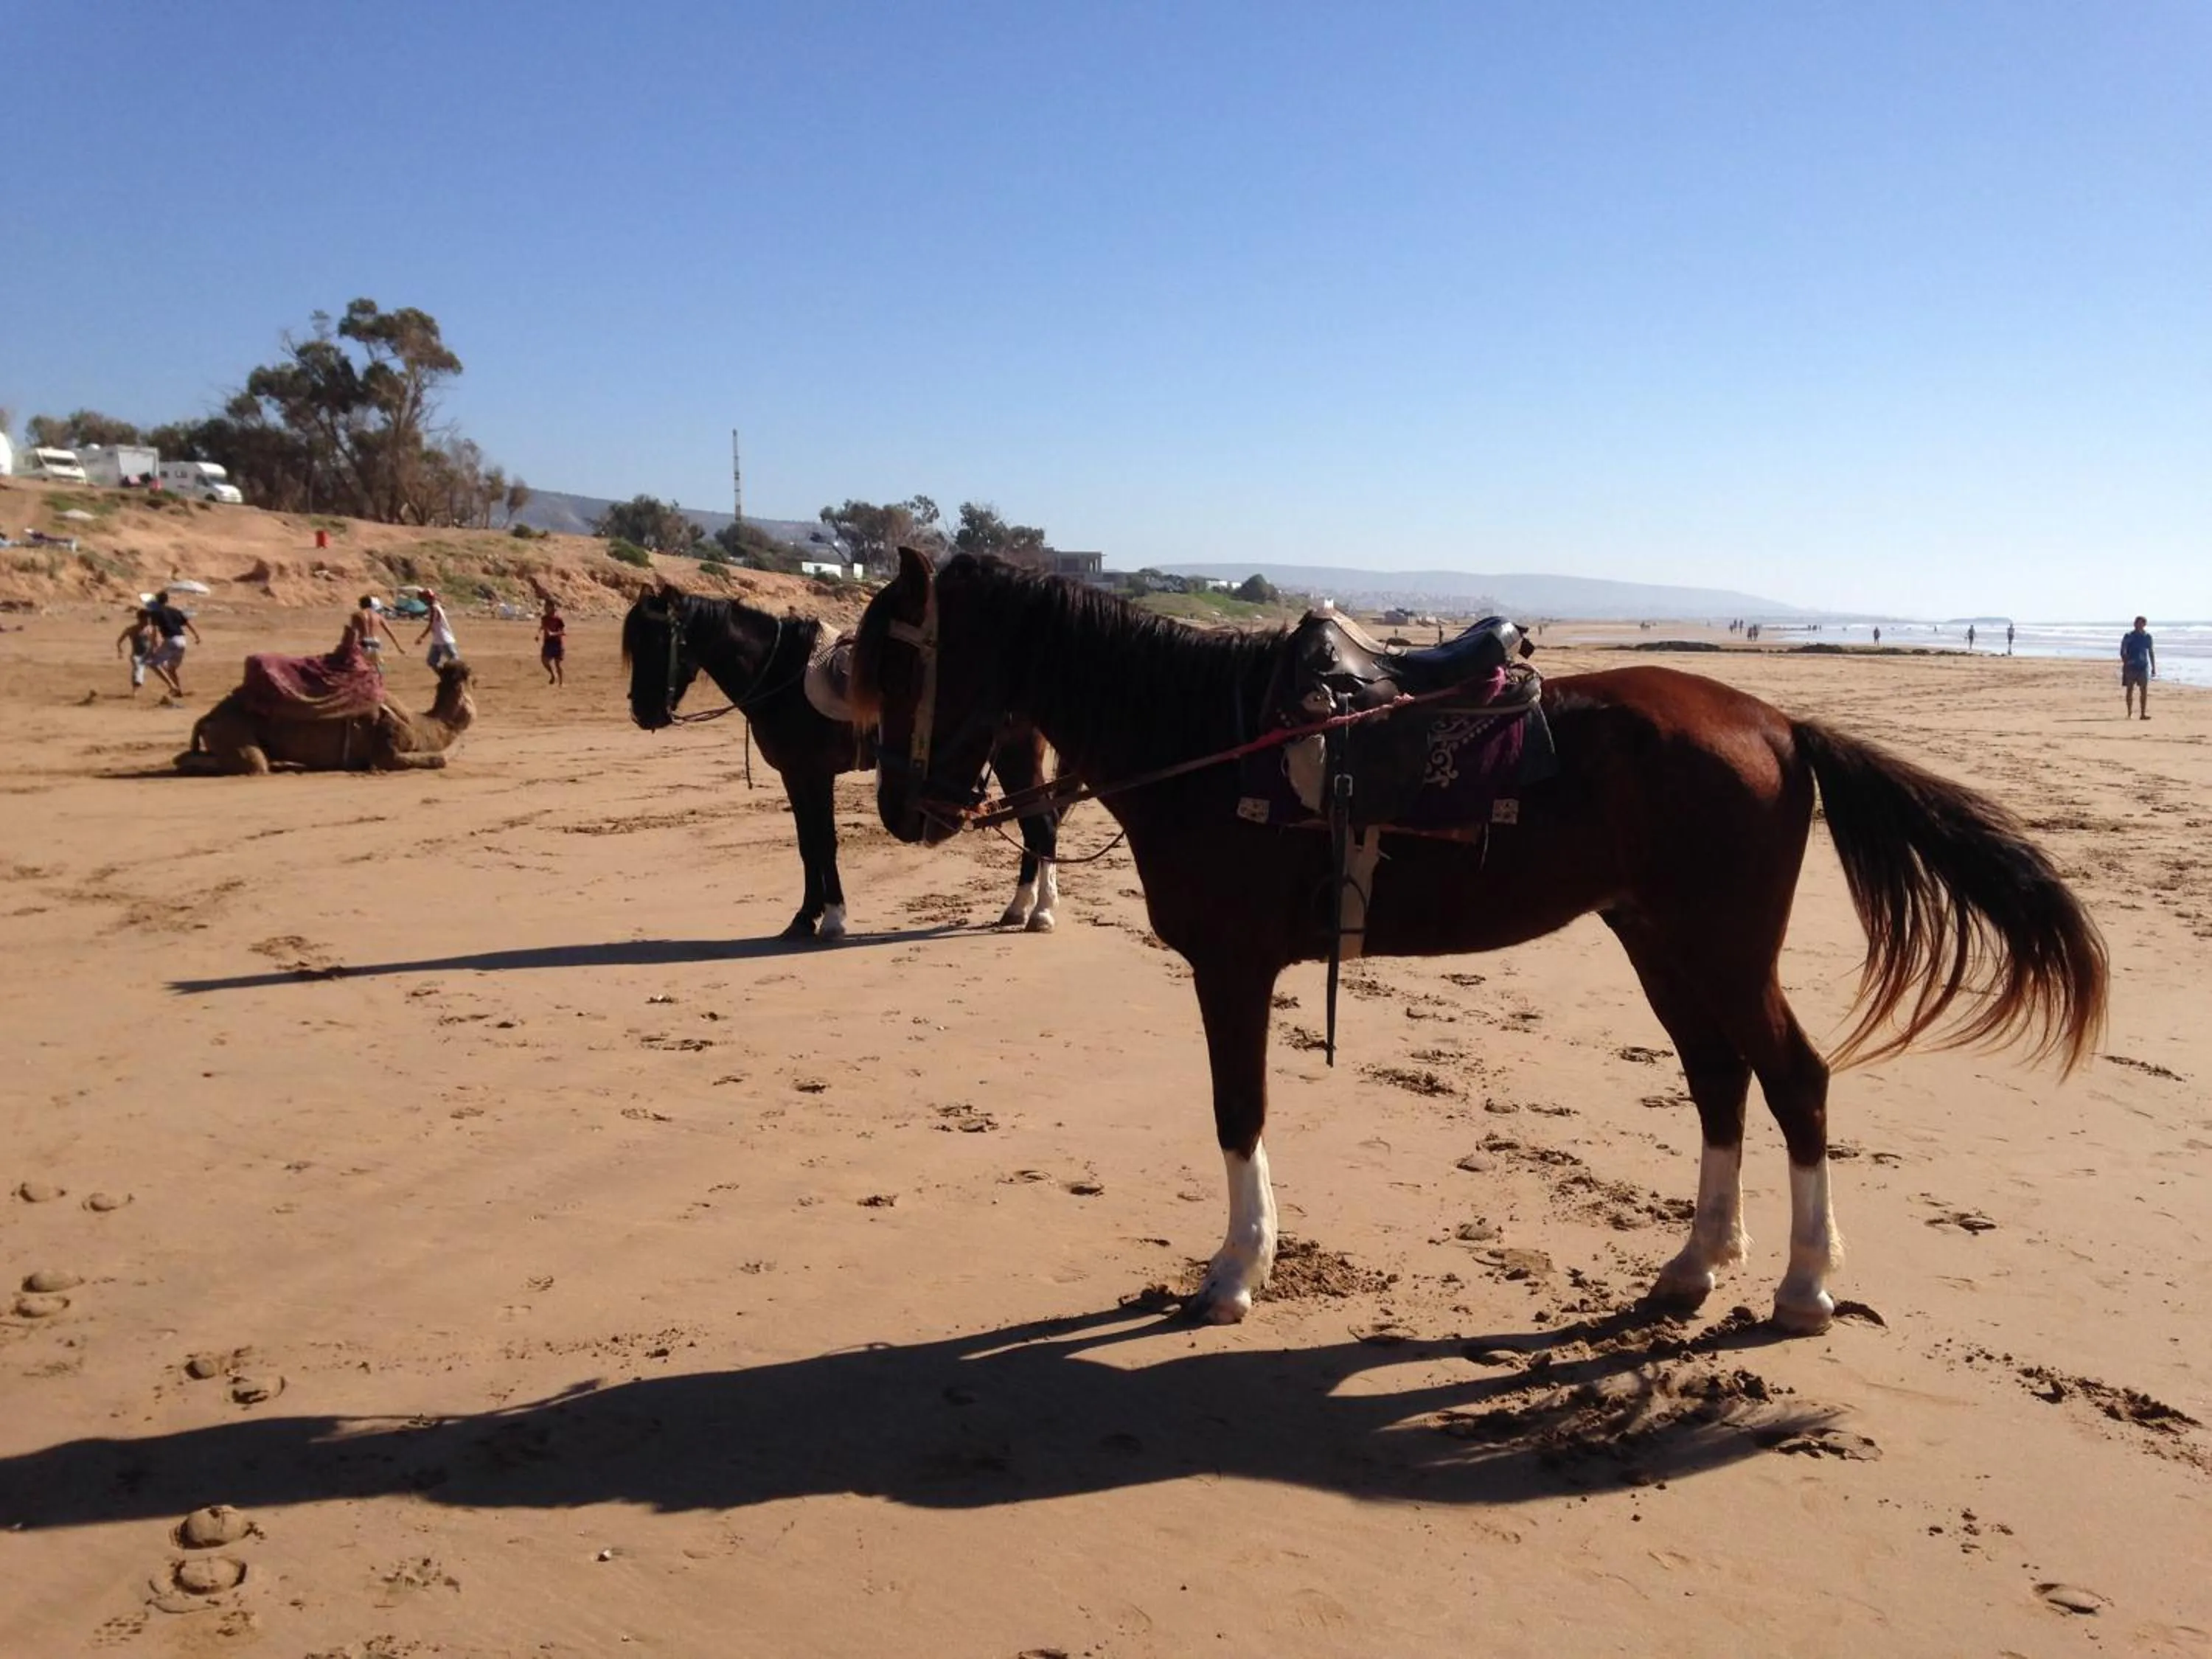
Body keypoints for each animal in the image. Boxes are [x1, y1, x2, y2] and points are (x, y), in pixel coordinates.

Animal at [622, 582, 1064, 940]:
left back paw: (1041, 912)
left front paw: (832, 918)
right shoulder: (794, 776)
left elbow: (825, 842)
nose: (644, 713)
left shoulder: (816, 775)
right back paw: (1018, 908)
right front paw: (804, 918)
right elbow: (808, 845)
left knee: (1041, 825)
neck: (780, 677)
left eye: (661, 643)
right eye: (636, 645)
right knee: (1033, 825)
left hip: (1016, 756)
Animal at [850, 549, 2107, 1333]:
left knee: (1793, 1079)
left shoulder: (1232, 967)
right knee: (1719, 1081)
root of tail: (1782, 723)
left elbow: (1236, 1111)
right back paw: (1694, 1264)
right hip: (1662, 943)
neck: (1209, 740)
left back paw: (1803, 1289)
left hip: (1723, 950)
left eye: (903, 658)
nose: (904, 809)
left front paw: (1236, 1269)